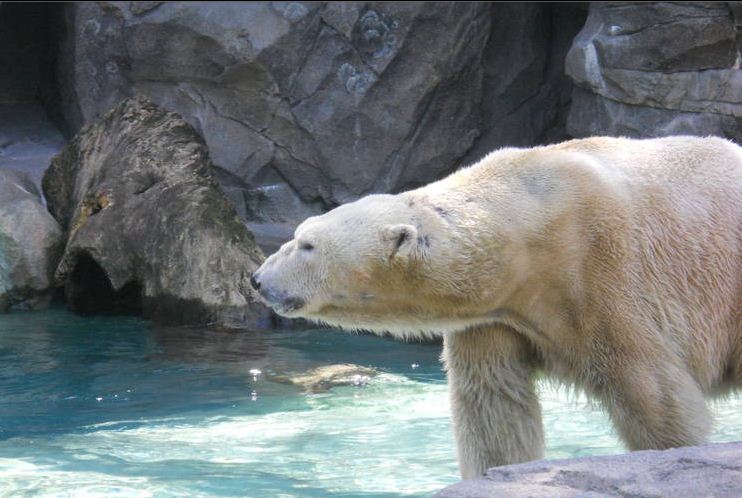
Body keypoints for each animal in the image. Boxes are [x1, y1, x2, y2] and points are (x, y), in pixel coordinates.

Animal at [250, 136, 742, 479]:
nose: (258, 280)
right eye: (300, 234)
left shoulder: (603, 274)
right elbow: (493, 407)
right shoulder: (494, 316)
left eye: (307, 244)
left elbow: (655, 393)